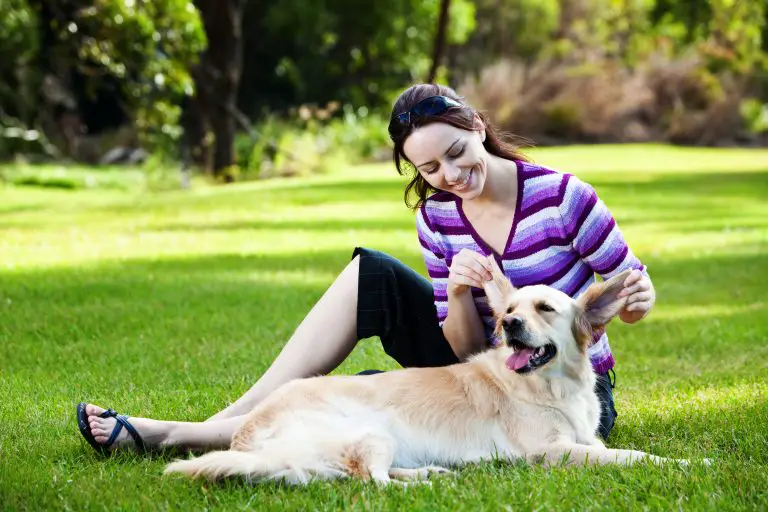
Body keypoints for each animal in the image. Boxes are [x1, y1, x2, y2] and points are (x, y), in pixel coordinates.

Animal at [165, 260, 692, 484]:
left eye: (544, 308)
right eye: (510, 311)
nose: (509, 324)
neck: (551, 387)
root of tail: (247, 439)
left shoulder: (585, 443)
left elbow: (618, 451)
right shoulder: (551, 452)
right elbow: (634, 456)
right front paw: (688, 464)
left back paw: (434, 471)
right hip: (370, 432)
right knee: (369, 482)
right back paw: (429, 480)